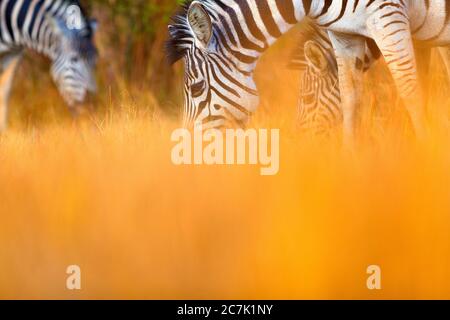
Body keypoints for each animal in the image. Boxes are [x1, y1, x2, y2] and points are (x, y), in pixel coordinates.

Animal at [0, 0, 98, 131]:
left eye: (94, 61)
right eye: (74, 59)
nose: (88, 109)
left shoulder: (13, 54)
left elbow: (4, 92)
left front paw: (4, 132)